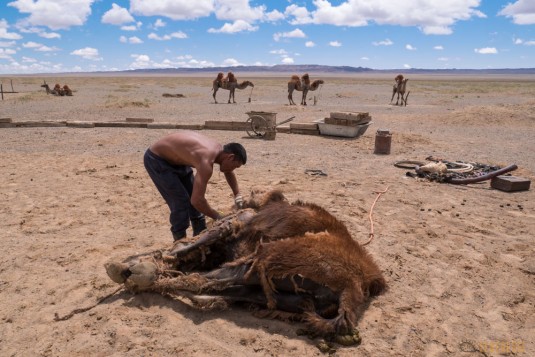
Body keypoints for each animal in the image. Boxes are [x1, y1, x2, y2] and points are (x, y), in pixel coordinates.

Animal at [104, 189, 386, 348]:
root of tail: (355, 288)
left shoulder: (234, 224)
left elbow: (185, 247)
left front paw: (135, 264)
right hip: (281, 294)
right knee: (220, 288)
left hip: (270, 258)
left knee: (206, 279)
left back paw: (135, 275)